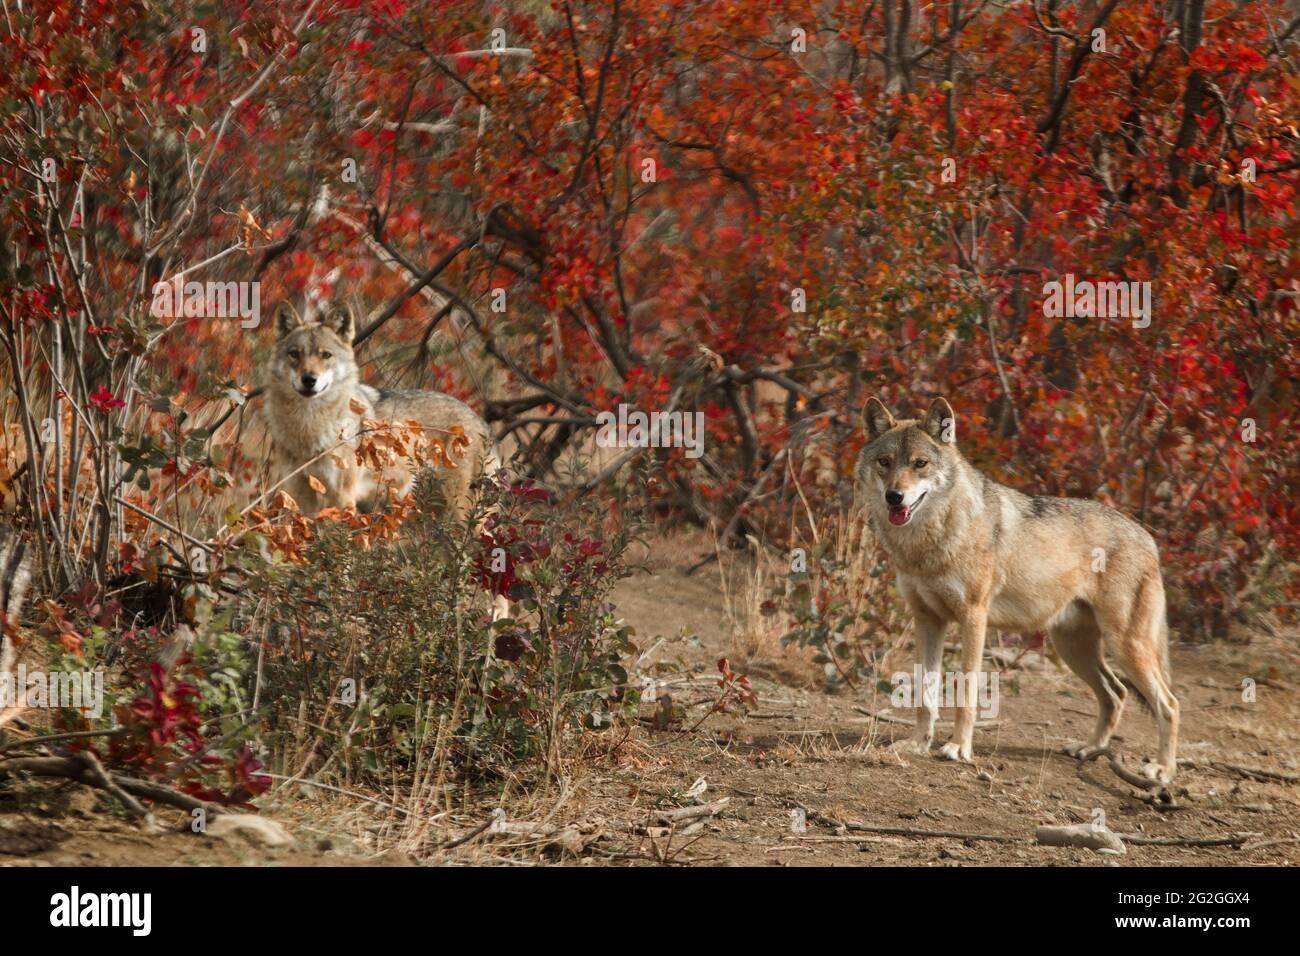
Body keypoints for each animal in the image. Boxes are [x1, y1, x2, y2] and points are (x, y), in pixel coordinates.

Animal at [852, 395, 1180, 785]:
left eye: (920, 463)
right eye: (884, 463)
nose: (894, 497)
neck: (926, 545)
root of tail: (1149, 538)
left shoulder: (973, 618)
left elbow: (966, 693)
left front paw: (958, 748)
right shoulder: (927, 620)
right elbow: (926, 695)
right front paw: (918, 744)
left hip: (1125, 646)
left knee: (1169, 704)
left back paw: (1162, 770)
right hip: (1074, 648)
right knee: (1116, 693)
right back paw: (1090, 749)